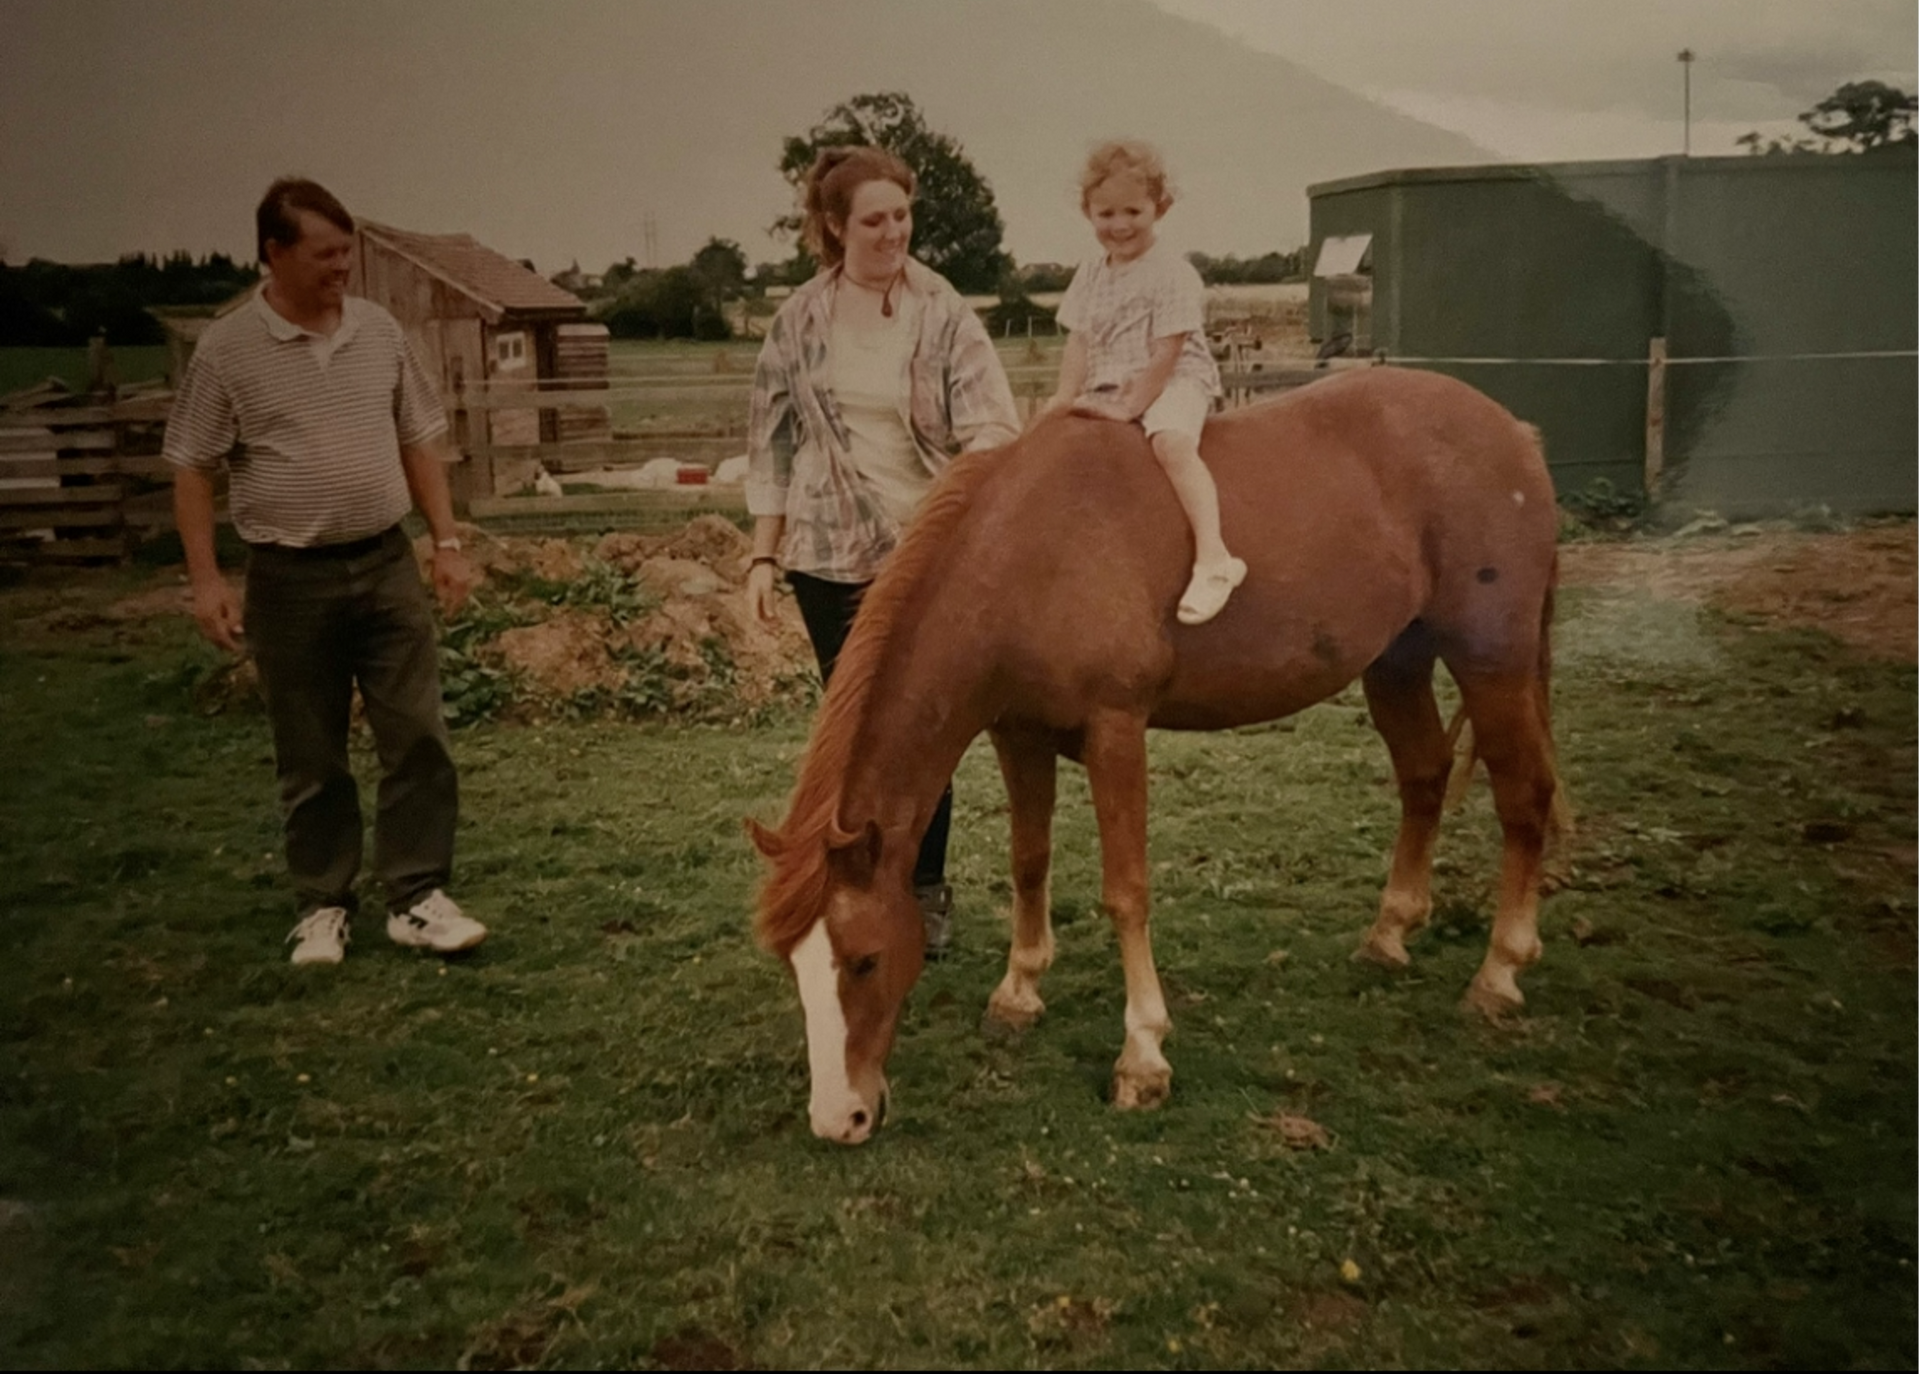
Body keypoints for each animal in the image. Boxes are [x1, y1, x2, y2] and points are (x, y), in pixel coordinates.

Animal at [744, 368, 1559, 1151]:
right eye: (794, 966)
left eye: (866, 959)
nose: (839, 1119)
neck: (1028, 555)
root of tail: (1515, 432)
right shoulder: (1019, 734)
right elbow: (1029, 862)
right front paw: (1019, 991)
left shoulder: (1116, 730)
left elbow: (1126, 892)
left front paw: (1142, 1057)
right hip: (1396, 664)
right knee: (1423, 778)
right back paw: (1389, 933)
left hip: (1492, 663)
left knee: (1525, 798)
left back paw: (1499, 973)